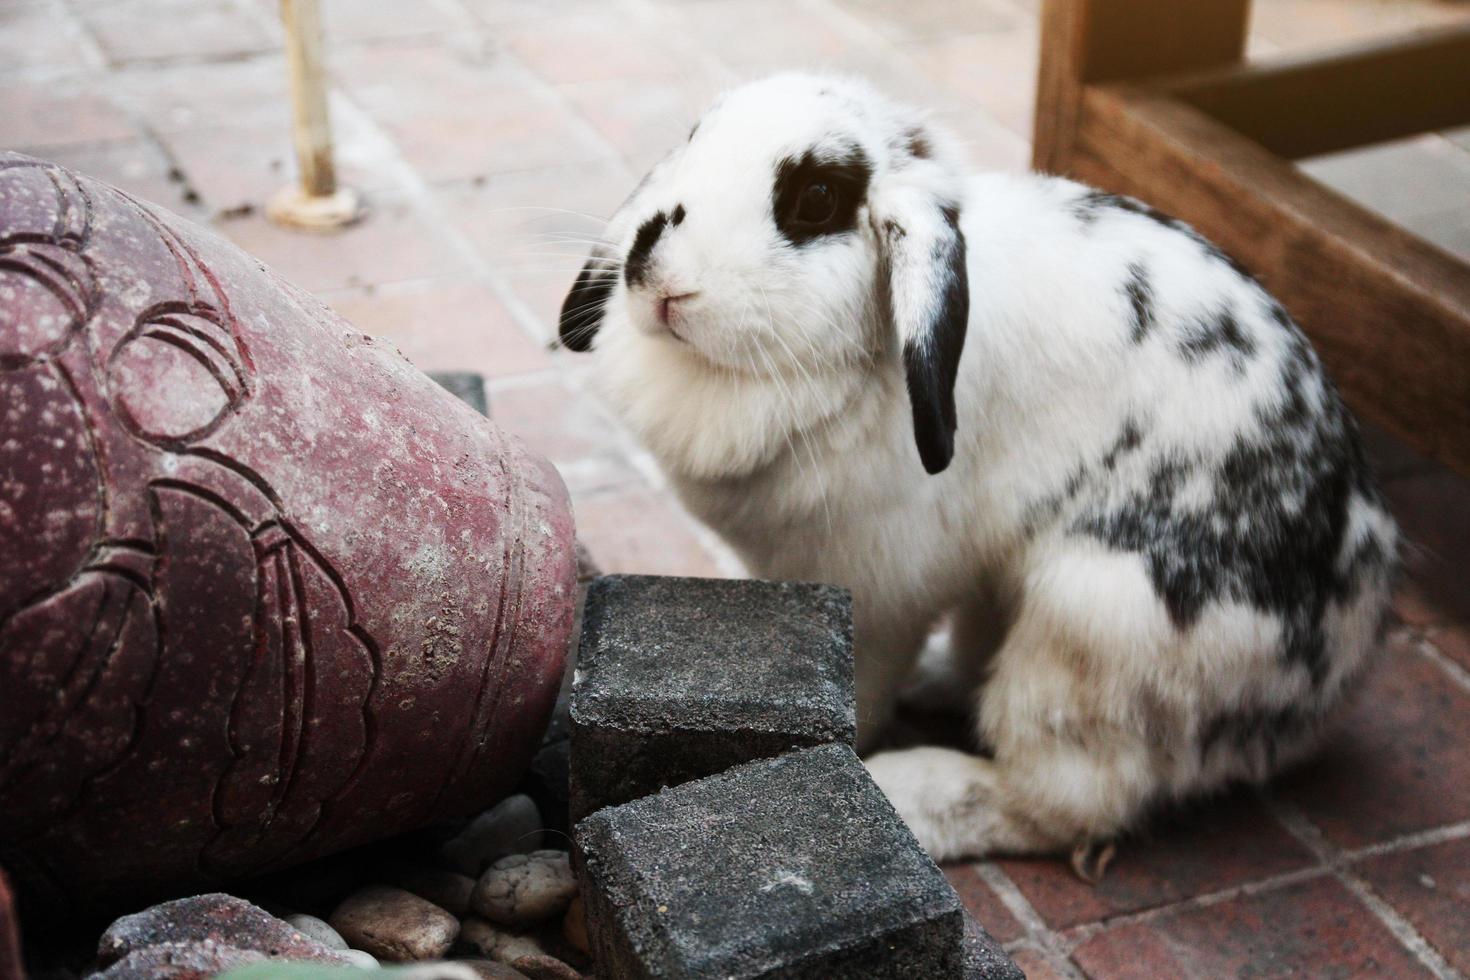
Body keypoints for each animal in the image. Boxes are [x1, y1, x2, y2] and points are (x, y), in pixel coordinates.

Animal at [552, 72, 1399, 863]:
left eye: (817, 199)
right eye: (695, 137)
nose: (653, 266)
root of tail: (1332, 674)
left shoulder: (876, 589)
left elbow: (863, 682)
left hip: (1092, 623)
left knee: (1069, 802)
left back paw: (911, 791)